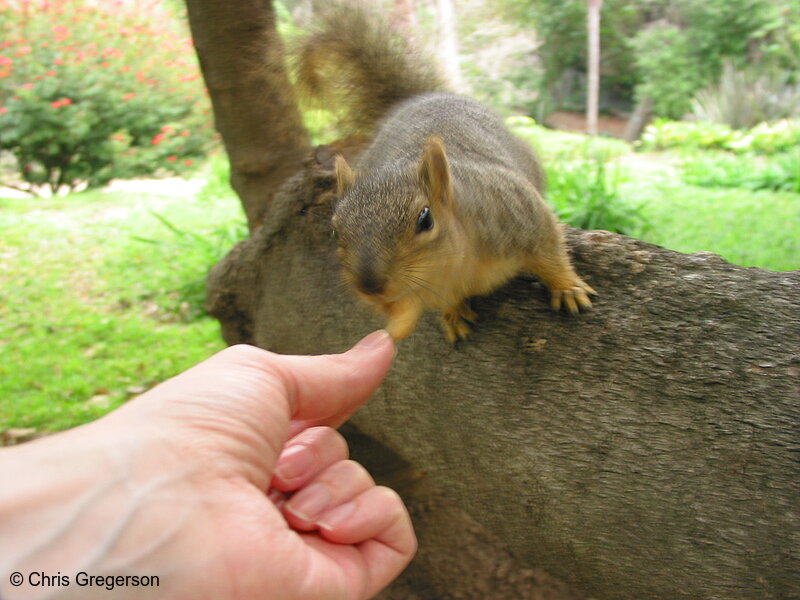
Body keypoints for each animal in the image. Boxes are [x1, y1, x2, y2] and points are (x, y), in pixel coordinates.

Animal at [294, 3, 592, 342]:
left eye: (426, 220)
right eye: (334, 231)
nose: (369, 286)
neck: (452, 270)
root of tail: (426, 97)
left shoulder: (519, 214)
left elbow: (550, 250)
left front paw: (567, 287)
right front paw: (452, 314)